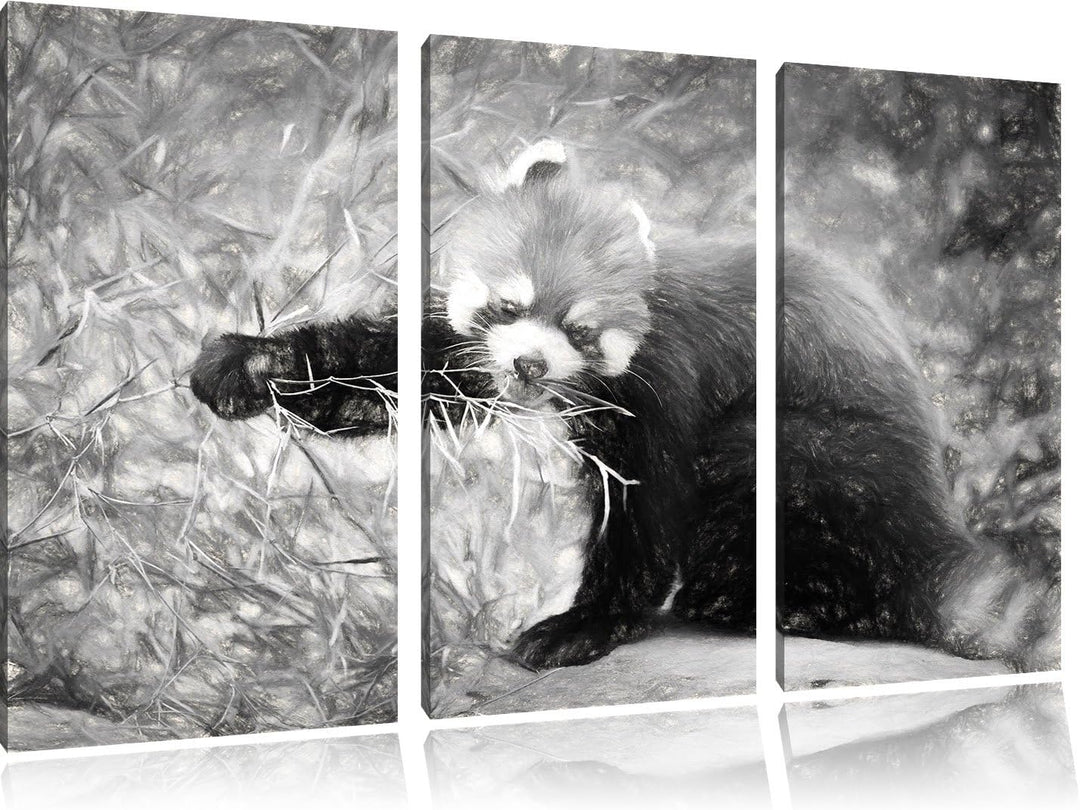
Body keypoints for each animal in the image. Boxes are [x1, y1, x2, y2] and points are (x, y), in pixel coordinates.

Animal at [192, 140, 1058, 672]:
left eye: (579, 329)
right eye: (508, 308)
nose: (531, 362)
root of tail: (936, 526)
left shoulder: (672, 377)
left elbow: (646, 510)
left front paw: (586, 623)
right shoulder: (471, 355)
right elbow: (403, 371)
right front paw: (251, 363)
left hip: (819, 457)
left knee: (775, 481)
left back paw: (778, 604)